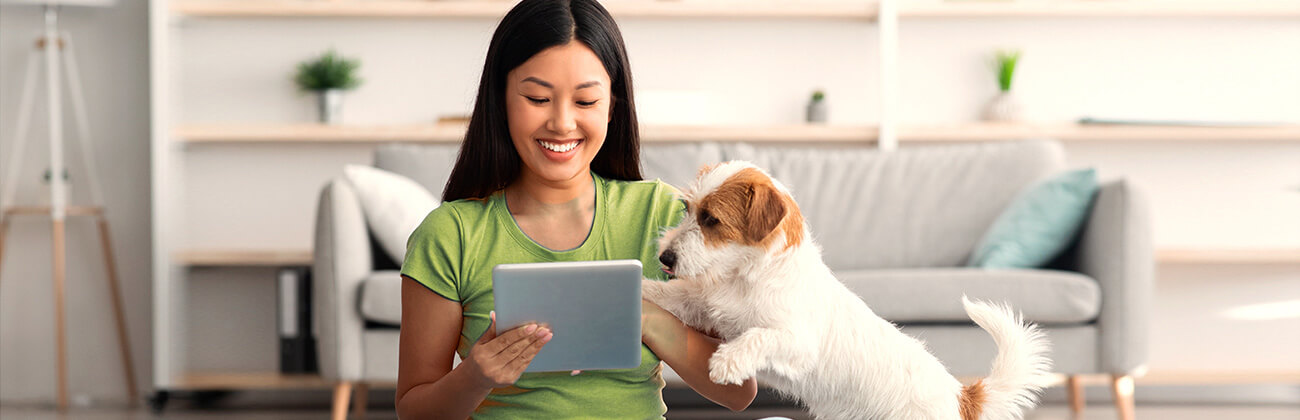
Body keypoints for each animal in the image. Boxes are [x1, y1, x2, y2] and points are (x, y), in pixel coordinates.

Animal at [642, 161, 1055, 420]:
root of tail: (961, 396)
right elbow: (669, 297)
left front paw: (727, 361)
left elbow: (760, 336)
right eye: (687, 208)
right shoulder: (704, 305)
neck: (745, 277)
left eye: (711, 220)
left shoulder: (796, 341)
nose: (665, 257)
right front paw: (642, 288)